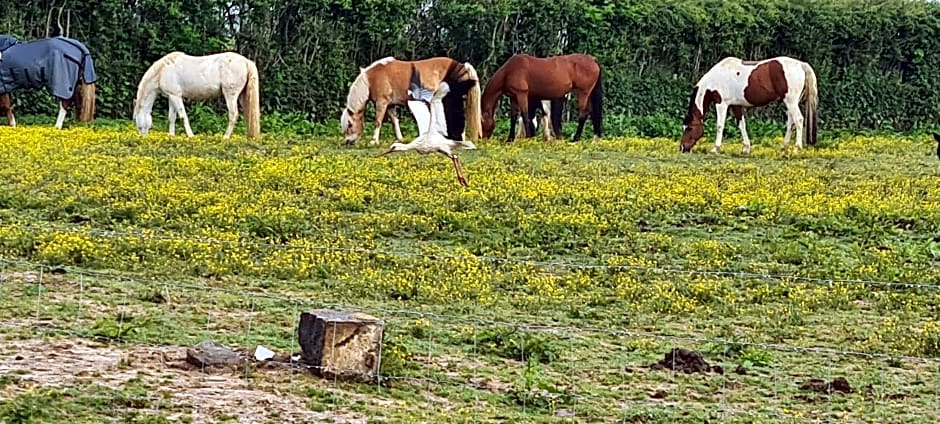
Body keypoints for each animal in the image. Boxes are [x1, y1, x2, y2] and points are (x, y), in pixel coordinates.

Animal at [132, 50, 260, 138]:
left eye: (138, 125)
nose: (143, 138)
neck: (162, 71)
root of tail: (246, 62)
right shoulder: (172, 96)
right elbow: (171, 118)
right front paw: (172, 136)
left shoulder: (176, 96)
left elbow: (183, 116)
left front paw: (190, 136)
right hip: (243, 97)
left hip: (230, 95)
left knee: (233, 115)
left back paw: (225, 137)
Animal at [340, 56, 484, 146]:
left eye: (350, 125)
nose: (348, 142)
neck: (372, 79)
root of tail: (462, 65)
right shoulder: (390, 105)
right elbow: (395, 121)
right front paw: (400, 139)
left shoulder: (382, 102)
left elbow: (378, 121)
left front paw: (374, 141)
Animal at [680, 56, 820, 154]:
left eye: (689, 128)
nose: (682, 148)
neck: (716, 78)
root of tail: (801, 65)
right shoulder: (736, 106)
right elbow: (742, 125)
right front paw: (746, 148)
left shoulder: (722, 104)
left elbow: (720, 126)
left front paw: (716, 148)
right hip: (790, 102)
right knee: (791, 123)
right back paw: (783, 148)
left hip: (791, 102)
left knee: (799, 120)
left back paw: (797, 148)